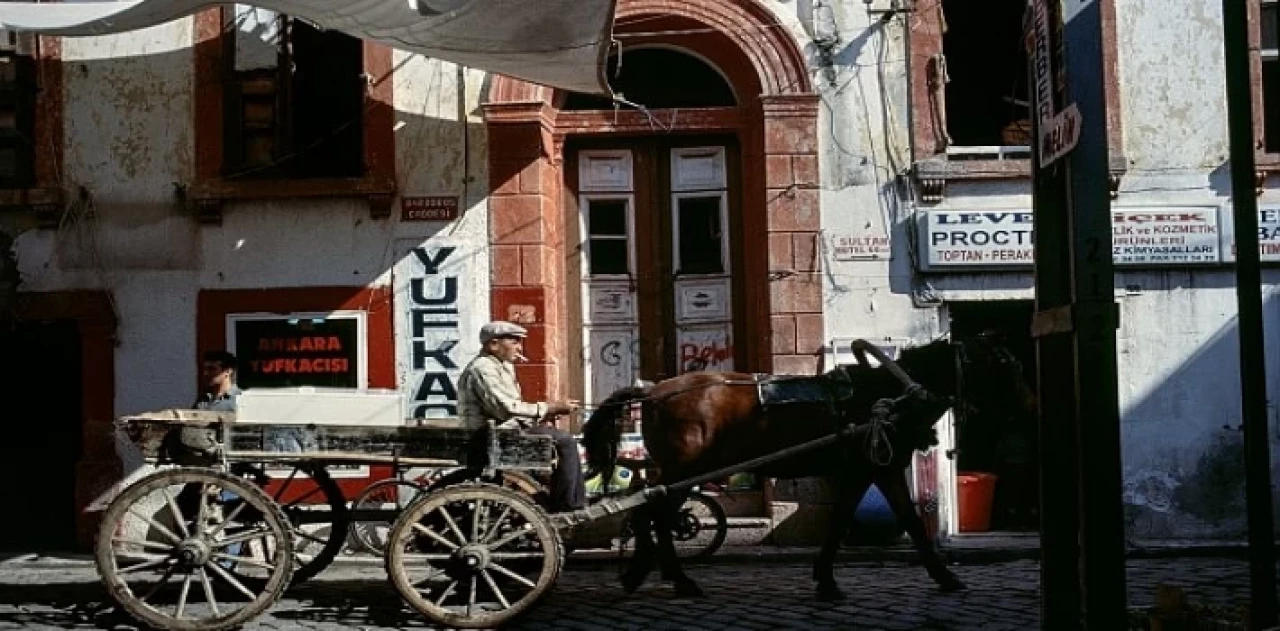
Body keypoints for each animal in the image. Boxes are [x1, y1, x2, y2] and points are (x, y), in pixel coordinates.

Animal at [581, 332, 1039, 599]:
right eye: (1005, 365)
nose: (1031, 408)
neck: (891, 391)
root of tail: (652, 392)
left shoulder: (875, 470)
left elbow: (878, 518)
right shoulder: (870, 469)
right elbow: (877, 520)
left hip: (676, 472)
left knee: (646, 512)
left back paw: (640, 574)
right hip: (686, 471)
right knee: (657, 516)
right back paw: (678, 579)